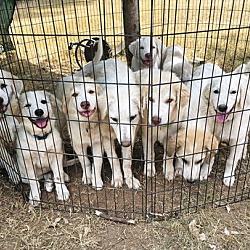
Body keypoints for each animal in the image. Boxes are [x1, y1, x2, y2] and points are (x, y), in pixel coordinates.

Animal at [84, 57, 142, 188]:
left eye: (133, 117)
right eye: (114, 119)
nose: (125, 143)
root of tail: (109, 59)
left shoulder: (131, 135)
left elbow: (127, 161)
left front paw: (130, 179)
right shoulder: (105, 136)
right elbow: (114, 158)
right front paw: (117, 177)